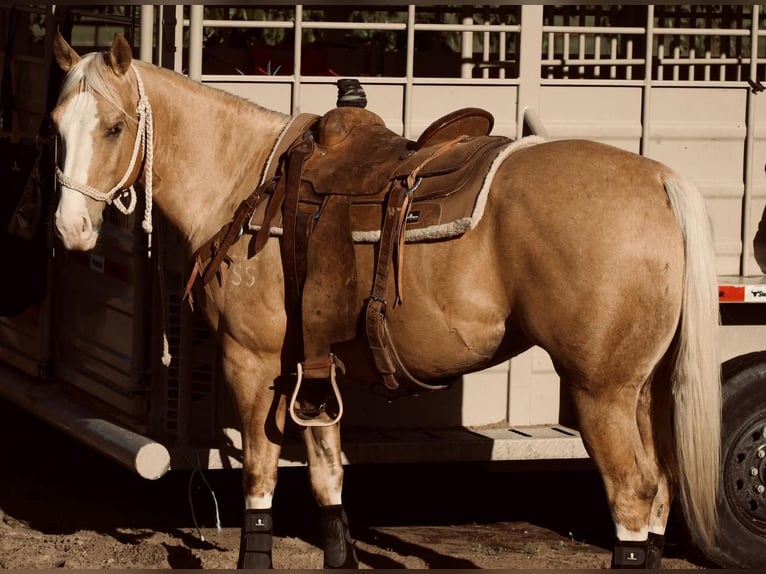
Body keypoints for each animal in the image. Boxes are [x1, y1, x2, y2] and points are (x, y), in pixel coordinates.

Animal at [51, 33, 724, 568]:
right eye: (56, 126)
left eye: (114, 127)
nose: (70, 229)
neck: (246, 178)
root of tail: (660, 179)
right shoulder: (312, 364)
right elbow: (327, 476)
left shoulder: (253, 361)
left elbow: (260, 477)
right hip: (646, 389)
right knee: (662, 491)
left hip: (599, 391)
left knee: (633, 496)